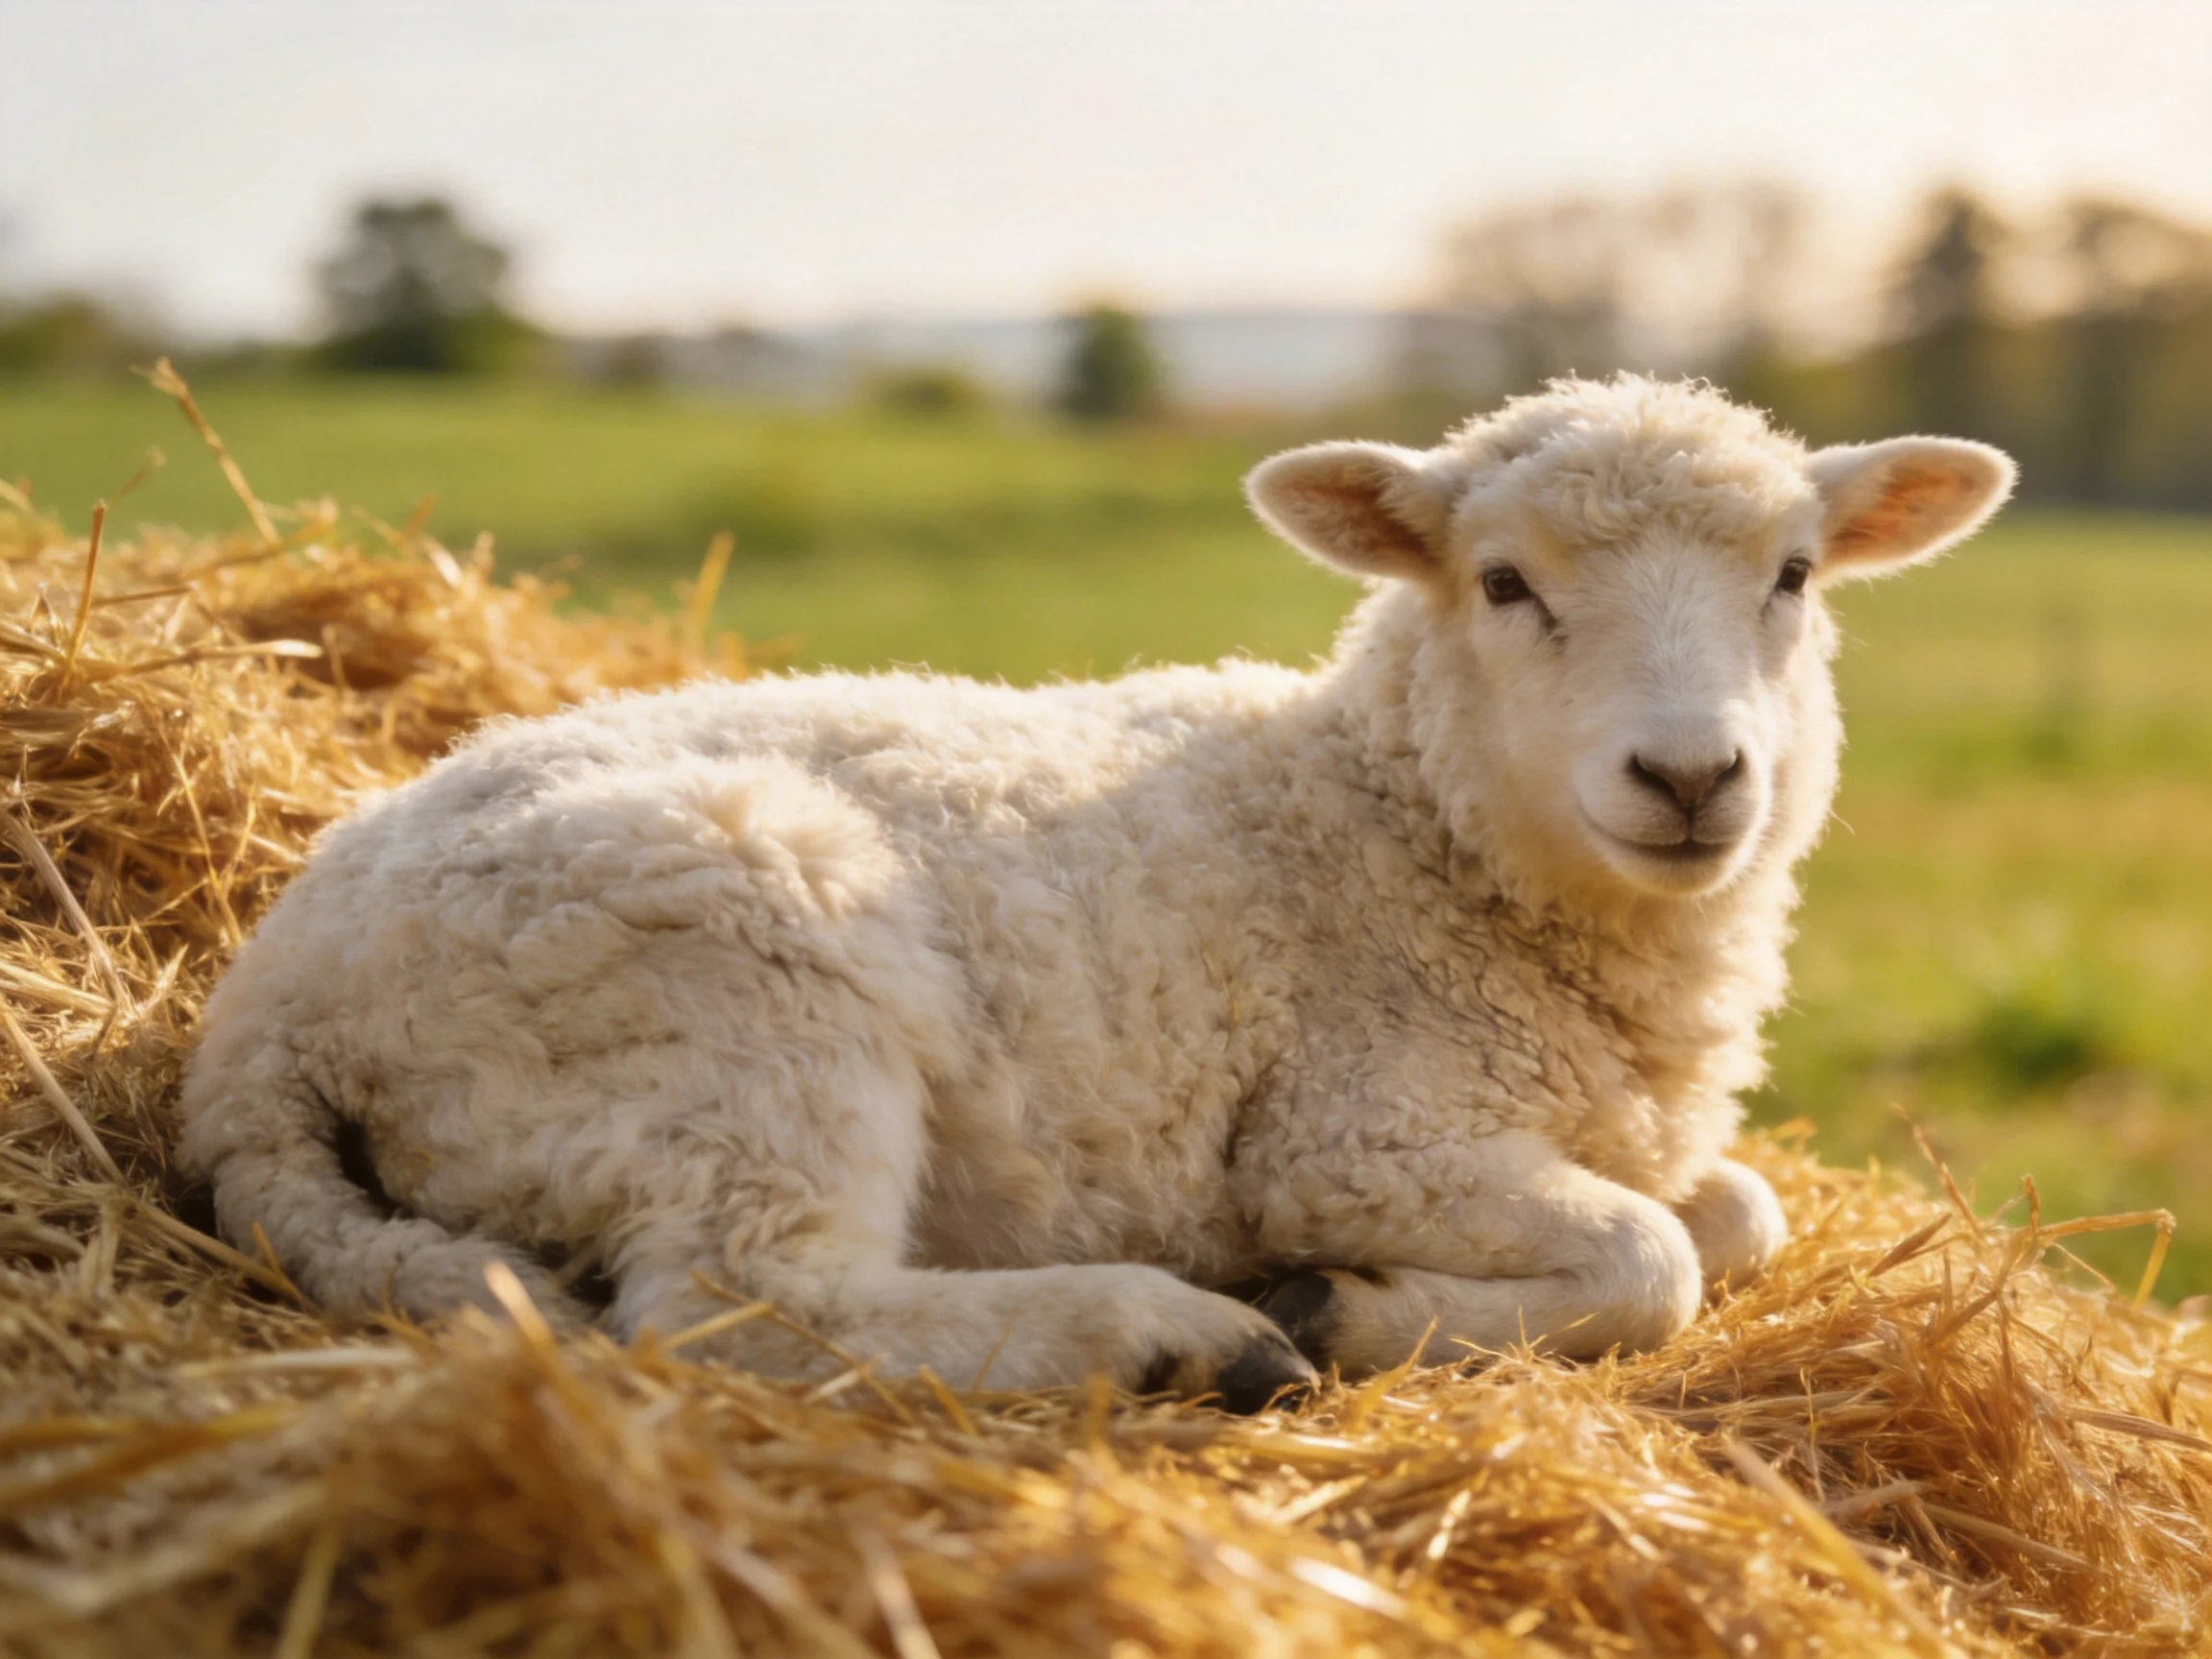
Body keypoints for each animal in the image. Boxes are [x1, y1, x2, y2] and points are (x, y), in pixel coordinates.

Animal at [178, 376, 2014, 1411]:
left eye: (1792, 577)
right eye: (1503, 585)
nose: (1692, 776)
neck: (1392, 818)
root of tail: (263, 1020)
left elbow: (1739, 1212)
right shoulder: (1354, 1133)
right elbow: (1657, 1258)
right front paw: (1341, 1304)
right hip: (735, 993)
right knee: (740, 1307)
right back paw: (1179, 1337)